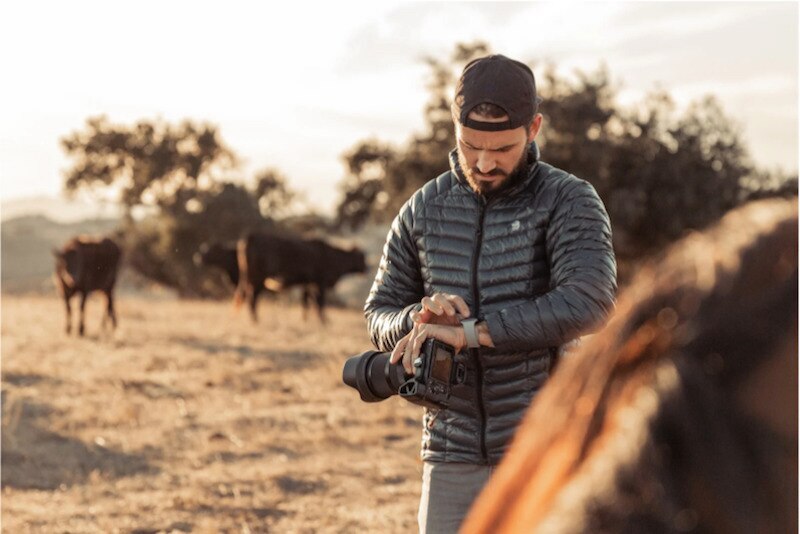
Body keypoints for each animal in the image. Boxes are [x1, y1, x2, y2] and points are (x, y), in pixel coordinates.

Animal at [233, 233, 368, 324]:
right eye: (362, 257)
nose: (366, 269)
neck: (332, 254)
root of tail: (251, 237)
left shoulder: (308, 284)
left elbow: (307, 302)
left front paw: (306, 319)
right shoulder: (320, 283)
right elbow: (319, 302)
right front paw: (323, 320)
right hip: (257, 280)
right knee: (252, 298)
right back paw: (255, 319)